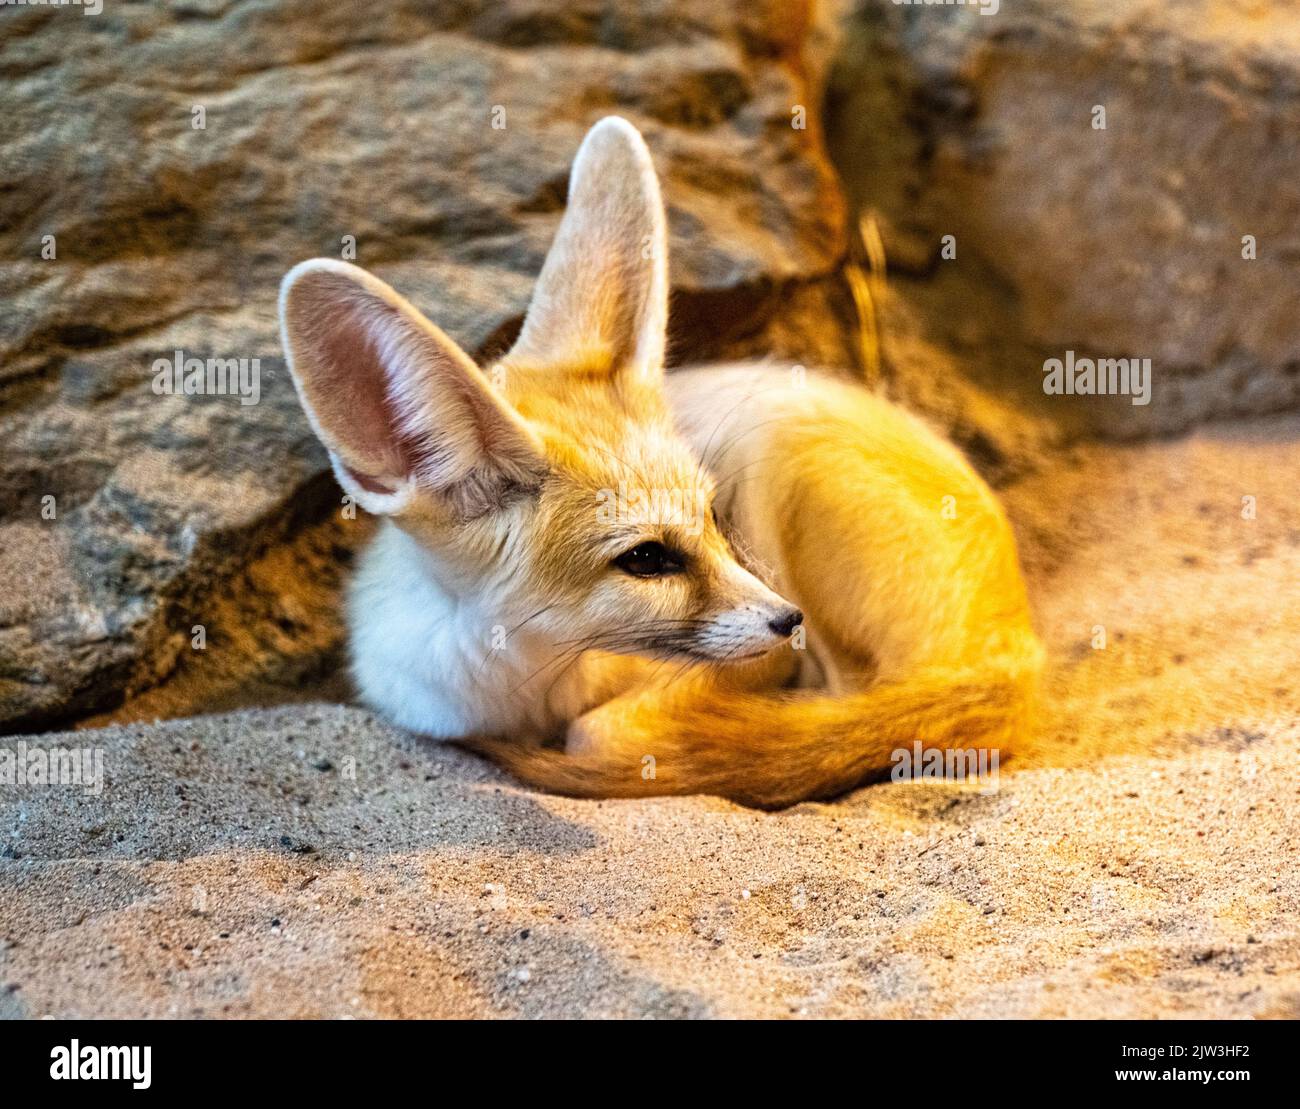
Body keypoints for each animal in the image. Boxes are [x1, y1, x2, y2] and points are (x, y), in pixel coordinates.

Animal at [279, 114, 1040, 806]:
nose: (785, 620)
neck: (522, 688)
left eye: (713, 518)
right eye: (646, 558)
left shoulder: (751, 667)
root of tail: (1021, 645)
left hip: (779, 449)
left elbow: (610, 728)